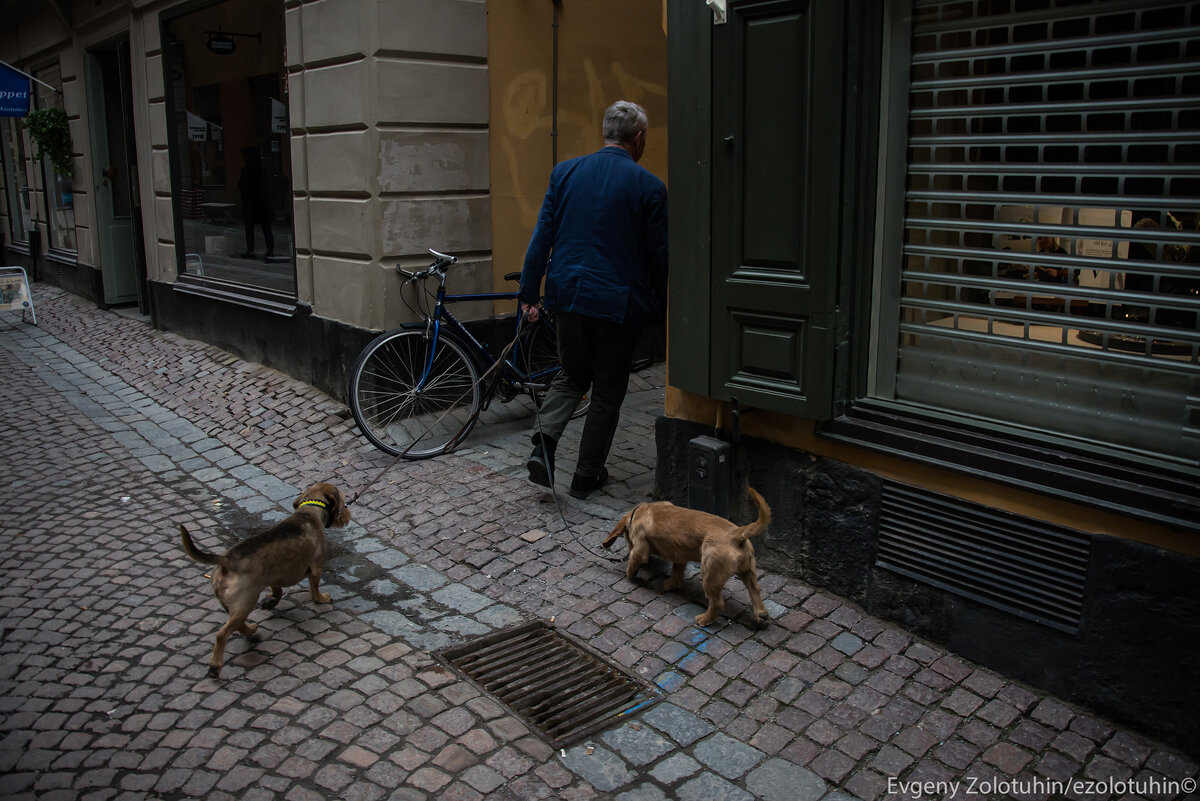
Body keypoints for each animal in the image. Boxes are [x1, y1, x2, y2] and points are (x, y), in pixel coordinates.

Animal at [176, 482, 350, 676]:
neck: (309, 513)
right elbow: (314, 588)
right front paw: (321, 598)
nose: (347, 513)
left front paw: (270, 601)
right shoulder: (316, 567)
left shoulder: (274, 575)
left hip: (235, 604)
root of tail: (226, 560)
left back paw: (251, 630)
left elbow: (278, 590)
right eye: (343, 503)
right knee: (223, 633)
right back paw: (216, 664)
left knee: (238, 624)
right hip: (246, 600)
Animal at [604, 489, 772, 623]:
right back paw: (761, 614)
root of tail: (737, 534)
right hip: (747, 571)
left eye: (628, 540)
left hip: (710, 574)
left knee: (717, 603)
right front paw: (672, 584)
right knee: (755, 589)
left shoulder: (640, 549)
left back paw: (704, 620)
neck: (639, 512)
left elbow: (632, 563)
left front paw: (630, 574)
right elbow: (677, 571)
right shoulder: (679, 556)